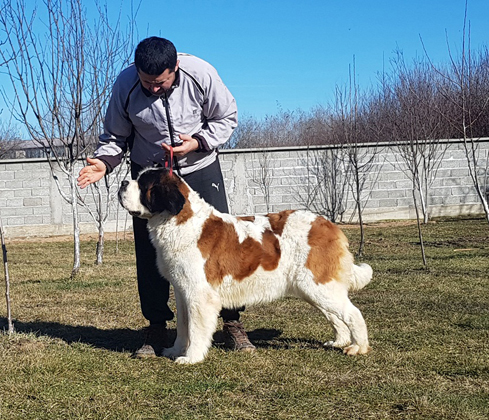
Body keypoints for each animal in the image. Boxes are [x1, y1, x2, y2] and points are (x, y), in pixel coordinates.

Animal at [118, 167, 373, 364]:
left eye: (143, 184)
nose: (122, 183)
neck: (180, 220)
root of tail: (329, 224)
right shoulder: (182, 292)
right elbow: (183, 326)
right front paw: (174, 350)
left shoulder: (199, 295)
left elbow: (196, 328)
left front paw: (191, 357)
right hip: (312, 288)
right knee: (336, 316)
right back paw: (339, 341)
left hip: (318, 285)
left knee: (353, 313)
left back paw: (357, 347)